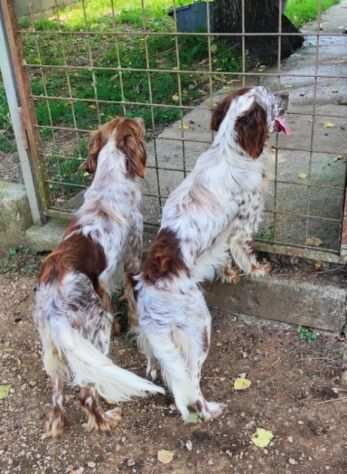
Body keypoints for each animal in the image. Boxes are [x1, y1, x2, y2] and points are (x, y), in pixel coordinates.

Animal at [32, 116, 164, 438]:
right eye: (135, 126)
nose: (141, 118)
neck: (109, 183)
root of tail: (53, 301)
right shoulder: (131, 264)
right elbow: (137, 317)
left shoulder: (103, 283)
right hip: (94, 326)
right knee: (85, 393)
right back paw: (105, 420)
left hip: (53, 346)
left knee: (57, 394)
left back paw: (58, 425)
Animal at [136, 86, 290, 422]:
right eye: (270, 98)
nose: (287, 94)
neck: (228, 150)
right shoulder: (243, 225)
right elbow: (244, 253)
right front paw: (257, 270)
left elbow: (224, 258)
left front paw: (229, 273)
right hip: (199, 329)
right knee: (190, 387)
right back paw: (210, 410)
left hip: (159, 338)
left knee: (156, 361)